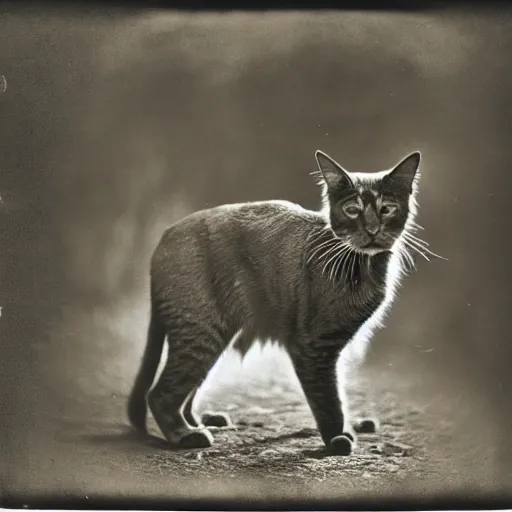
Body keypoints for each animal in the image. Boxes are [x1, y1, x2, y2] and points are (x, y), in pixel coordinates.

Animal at [127, 149, 424, 456]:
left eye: (387, 209)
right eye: (352, 209)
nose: (373, 229)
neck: (360, 263)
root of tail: (164, 237)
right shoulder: (313, 346)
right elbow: (328, 399)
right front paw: (336, 439)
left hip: (212, 337)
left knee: (187, 390)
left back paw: (201, 422)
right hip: (201, 332)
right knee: (161, 394)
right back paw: (185, 435)